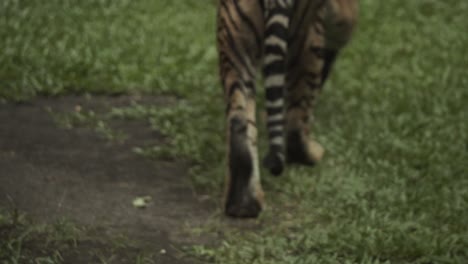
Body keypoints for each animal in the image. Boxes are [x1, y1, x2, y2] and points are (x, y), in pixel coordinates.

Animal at [217, 0, 358, 218]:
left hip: (236, 36)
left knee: (239, 118)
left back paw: (243, 204)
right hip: (305, 38)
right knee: (297, 123)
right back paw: (311, 153)